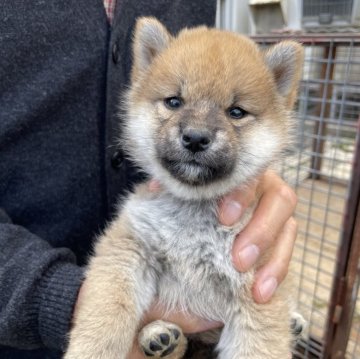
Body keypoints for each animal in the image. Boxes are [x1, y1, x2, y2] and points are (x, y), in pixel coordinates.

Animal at [64, 16, 304, 359]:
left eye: (236, 111)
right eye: (174, 102)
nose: (195, 137)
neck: (194, 217)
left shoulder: (257, 284)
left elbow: (259, 346)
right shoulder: (128, 250)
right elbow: (105, 318)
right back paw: (160, 337)